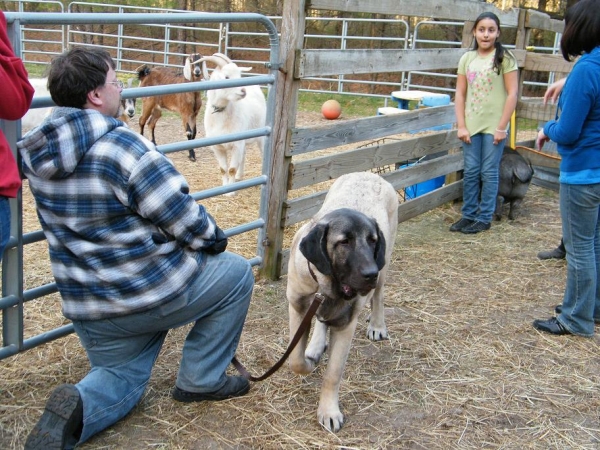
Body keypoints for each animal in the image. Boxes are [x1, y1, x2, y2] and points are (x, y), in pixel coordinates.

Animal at [286, 171, 398, 430]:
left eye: (373, 240)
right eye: (344, 242)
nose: (370, 273)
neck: (326, 285)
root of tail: (369, 174)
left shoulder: (347, 324)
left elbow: (333, 374)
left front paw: (328, 411)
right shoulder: (297, 307)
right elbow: (295, 360)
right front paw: (308, 361)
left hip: (385, 263)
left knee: (379, 296)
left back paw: (377, 325)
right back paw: (316, 345)